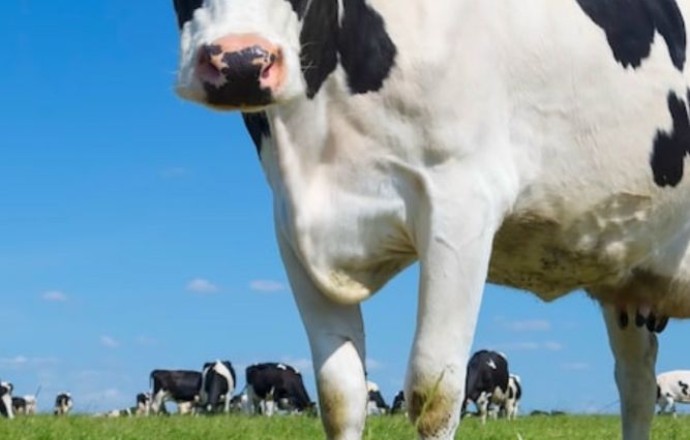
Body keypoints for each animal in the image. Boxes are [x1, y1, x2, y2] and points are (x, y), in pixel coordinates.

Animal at [172, 1, 690, 439]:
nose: (242, 63)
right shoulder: (292, 228)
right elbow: (340, 395)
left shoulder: (460, 204)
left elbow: (434, 390)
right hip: (628, 281)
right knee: (636, 383)